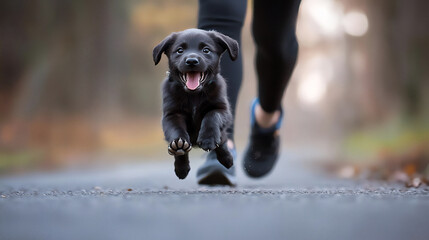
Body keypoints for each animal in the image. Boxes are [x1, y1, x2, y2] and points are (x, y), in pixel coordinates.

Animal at [151, 29, 237, 179]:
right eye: (180, 50)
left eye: (206, 50)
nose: (191, 61)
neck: (193, 95)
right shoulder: (171, 114)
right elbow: (176, 129)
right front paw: (179, 146)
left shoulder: (222, 109)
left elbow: (212, 116)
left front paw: (208, 139)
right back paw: (181, 166)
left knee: (222, 141)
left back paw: (227, 159)